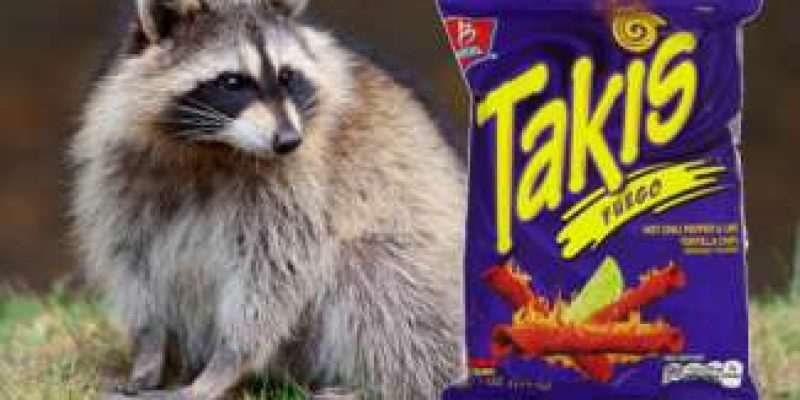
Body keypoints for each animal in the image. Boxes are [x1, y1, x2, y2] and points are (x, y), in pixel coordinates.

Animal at [71, 0, 466, 399]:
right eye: (232, 82)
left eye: (287, 75)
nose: (289, 140)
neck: (210, 146)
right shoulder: (123, 174)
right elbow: (134, 264)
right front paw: (149, 349)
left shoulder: (298, 185)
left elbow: (272, 276)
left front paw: (224, 365)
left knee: (379, 280)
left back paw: (378, 385)